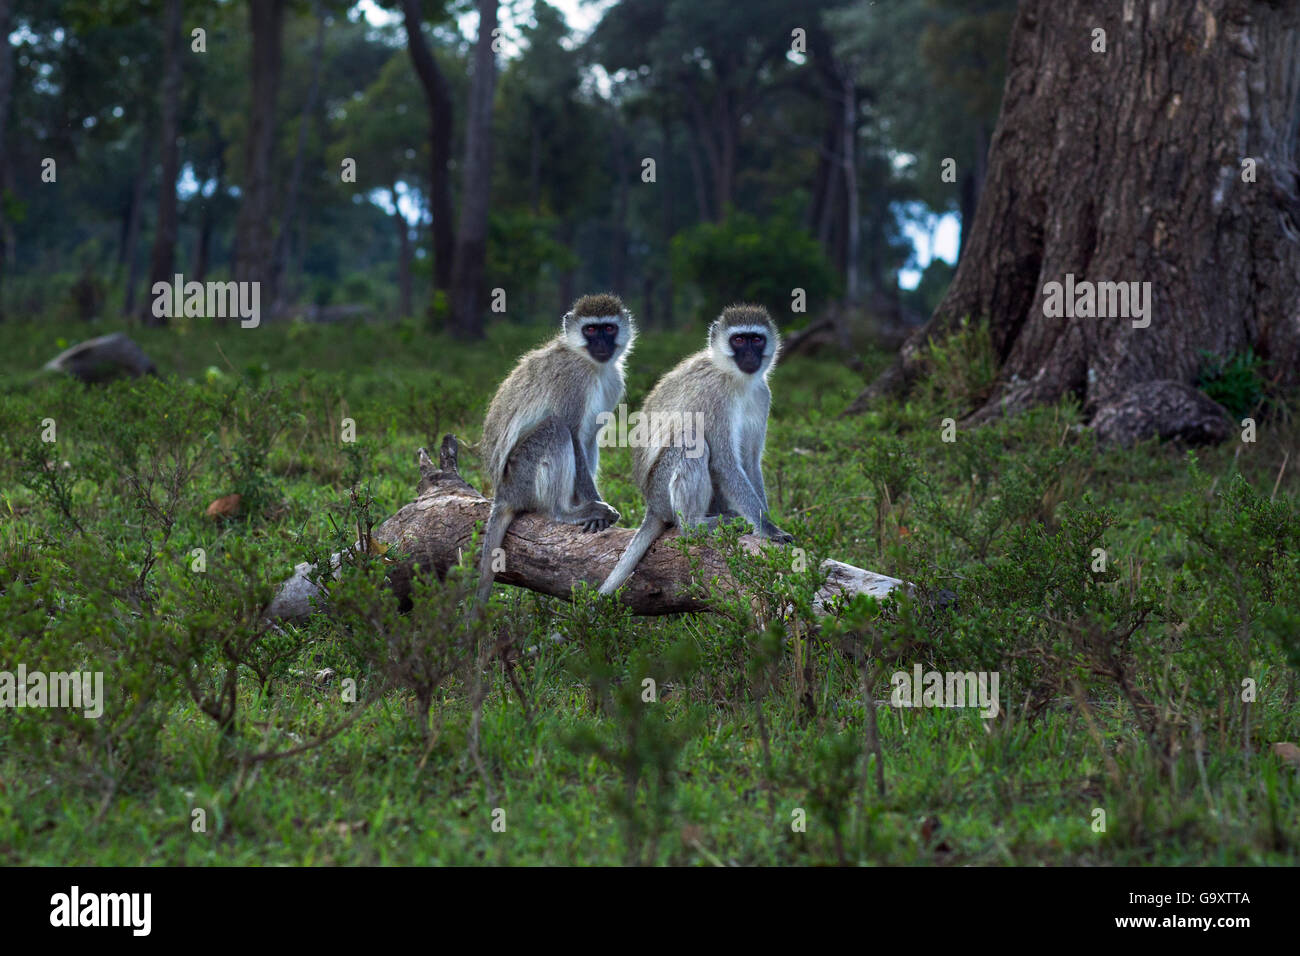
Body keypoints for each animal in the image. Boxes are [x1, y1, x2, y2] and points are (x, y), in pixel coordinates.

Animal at [475, 293, 635, 604]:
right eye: (590, 329)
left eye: (608, 328)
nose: (601, 344)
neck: (591, 364)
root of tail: (502, 493)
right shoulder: (573, 379)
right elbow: (572, 432)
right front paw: (593, 506)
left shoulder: (613, 380)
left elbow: (588, 439)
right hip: (521, 476)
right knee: (556, 429)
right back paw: (564, 511)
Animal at [598, 304, 792, 597]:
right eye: (738, 340)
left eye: (756, 339)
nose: (749, 355)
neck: (736, 379)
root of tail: (651, 505)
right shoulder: (714, 397)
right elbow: (725, 463)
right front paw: (769, 529)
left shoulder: (762, 394)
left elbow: (750, 462)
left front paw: (766, 522)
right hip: (661, 491)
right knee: (691, 441)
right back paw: (695, 525)